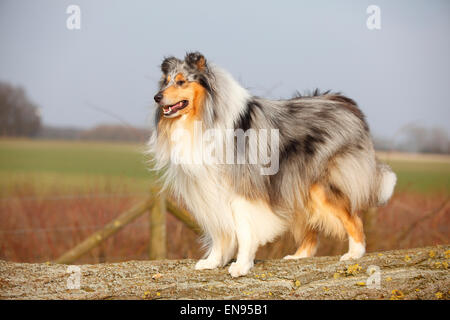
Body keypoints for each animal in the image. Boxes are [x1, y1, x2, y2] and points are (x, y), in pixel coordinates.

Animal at [147, 51, 394, 276]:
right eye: (165, 81)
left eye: (181, 81)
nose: (157, 97)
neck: (203, 118)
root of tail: (346, 104)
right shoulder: (210, 191)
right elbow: (220, 231)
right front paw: (213, 262)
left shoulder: (242, 189)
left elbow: (244, 230)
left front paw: (241, 266)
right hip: (295, 184)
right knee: (312, 230)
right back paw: (298, 256)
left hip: (320, 186)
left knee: (354, 219)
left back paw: (354, 253)